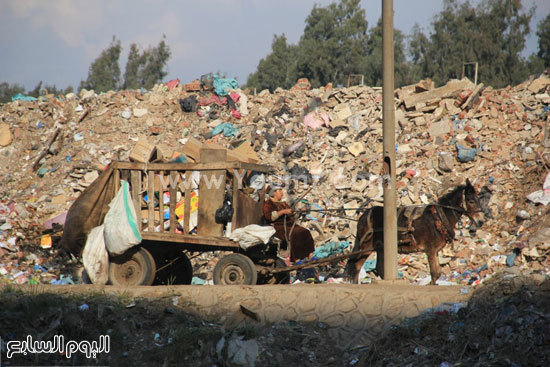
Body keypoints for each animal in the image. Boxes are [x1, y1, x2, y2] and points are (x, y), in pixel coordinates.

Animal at [348, 180, 486, 286]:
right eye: (471, 201)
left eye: (478, 199)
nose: (481, 221)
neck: (438, 218)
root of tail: (364, 214)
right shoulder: (430, 249)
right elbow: (435, 273)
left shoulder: (435, 251)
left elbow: (437, 272)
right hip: (366, 246)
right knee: (357, 266)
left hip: (378, 248)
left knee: (370, 267)